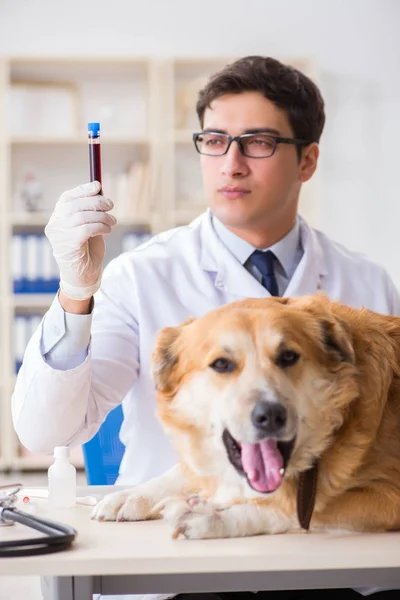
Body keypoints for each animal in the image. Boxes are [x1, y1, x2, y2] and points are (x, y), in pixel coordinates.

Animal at [92, 296, 400, 540]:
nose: (271, 415)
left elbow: (299, 510)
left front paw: (214, 517)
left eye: (289, 356)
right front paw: (133, 495)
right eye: (221, 364)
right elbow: (183, 471)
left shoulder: (388, 496)